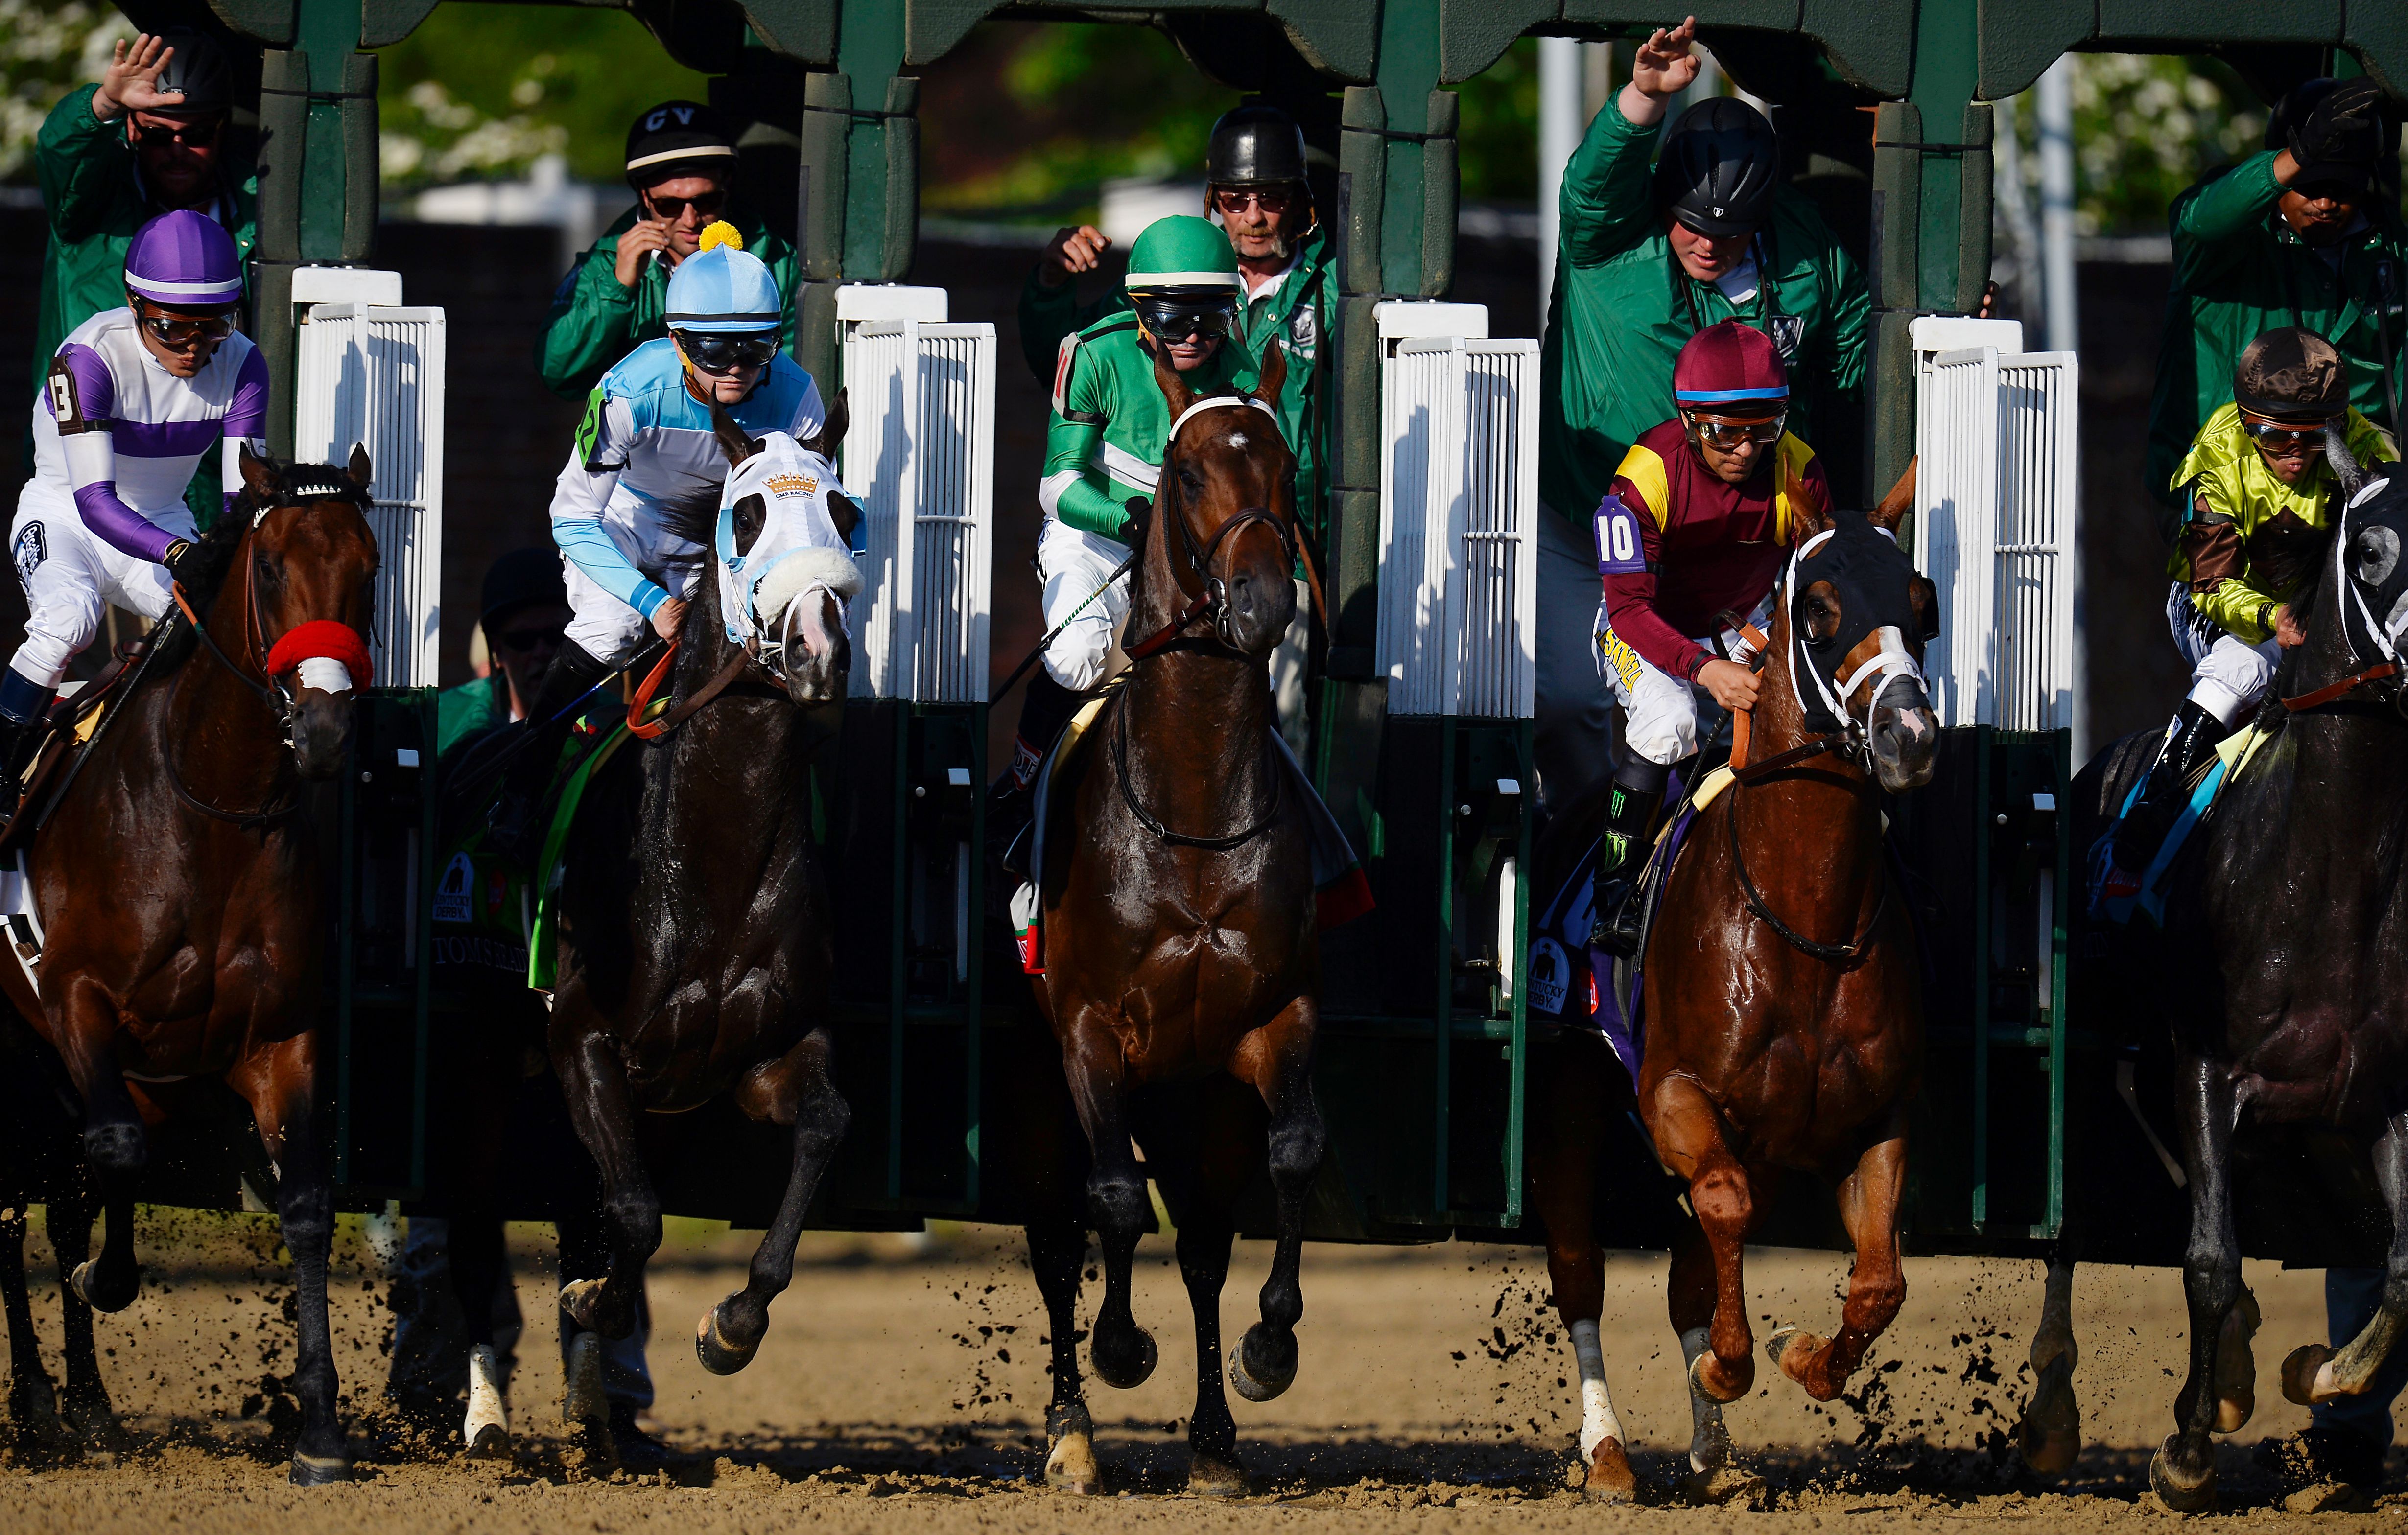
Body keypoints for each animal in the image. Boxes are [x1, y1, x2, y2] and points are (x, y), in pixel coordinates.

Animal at [2, 452, 378, 1482]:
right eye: (273, 568)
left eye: (369, 568)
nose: (325, 730)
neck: (208, 807)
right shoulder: (75, 1000)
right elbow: (122, 1154)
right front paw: (106, 1279)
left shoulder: (278, 1036)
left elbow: (304, 1205)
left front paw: (319, 1430)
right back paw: (35, 1403)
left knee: (55, 1198)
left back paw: (84, 1403)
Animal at [542, 399, 862, 1453]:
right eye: (747, 514)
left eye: (845, 512)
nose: (816, 650)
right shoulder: (581, 1038)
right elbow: (637, 1215)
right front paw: (591, 1301)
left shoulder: (764, 1055)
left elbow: (824, 1128)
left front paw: (730, 1324)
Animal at [1011, 341, 1320, 1501]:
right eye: (1186, 474)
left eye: (1284, 465)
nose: (1261, 599)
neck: (1189, 811)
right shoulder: (1087, 1030)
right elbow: (1108, 1199)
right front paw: (1117, 1350)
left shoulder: (1270, 1019)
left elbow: (1292, 1155)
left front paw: (1268, 1348)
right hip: (1036, 1075)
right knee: (1056, 1232)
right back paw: (1071, 1429)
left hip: (1192, 1094)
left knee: (1199, 1245)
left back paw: (1214, 1440)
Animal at [1531, 486, 1945, 1511]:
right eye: (1819, 607)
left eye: (1921, 603)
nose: (1908, 737)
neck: (1802, 915)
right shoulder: (1673, 1093)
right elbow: (1720, 1206)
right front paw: (1727, 1365)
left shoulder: (1876, 1117)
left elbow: (1879, 1282)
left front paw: (1803, 1361)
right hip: (1573, 1097)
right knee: (1579, 1270)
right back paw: (1607, 1452)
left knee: (1687, 1273)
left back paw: (1714, 1457)